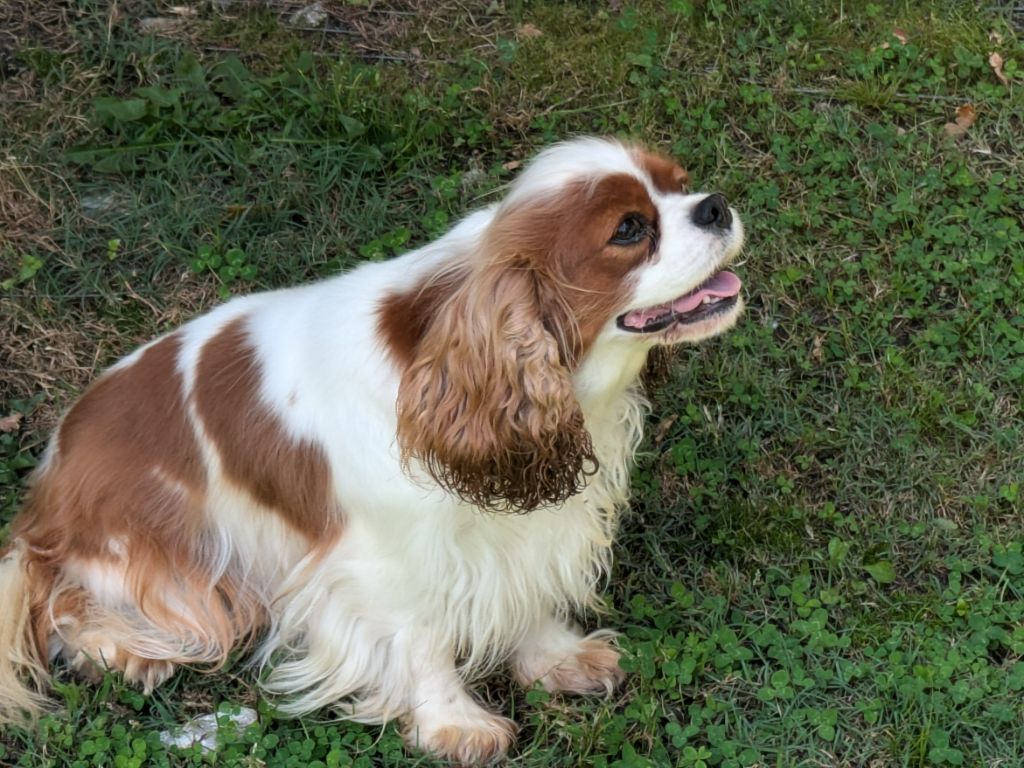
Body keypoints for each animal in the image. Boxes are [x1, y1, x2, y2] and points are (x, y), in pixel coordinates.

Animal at [0, 137, 745, 765]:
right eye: (629, 230)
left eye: (679, 182)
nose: (716, 204)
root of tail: (44, 496)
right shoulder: (391, 557)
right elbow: (422, 640)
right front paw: (455, 725)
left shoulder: (521, 523)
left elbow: (526, 589)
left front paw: (554, 658)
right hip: (153, 560)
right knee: (65, 605)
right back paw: (124, 648)